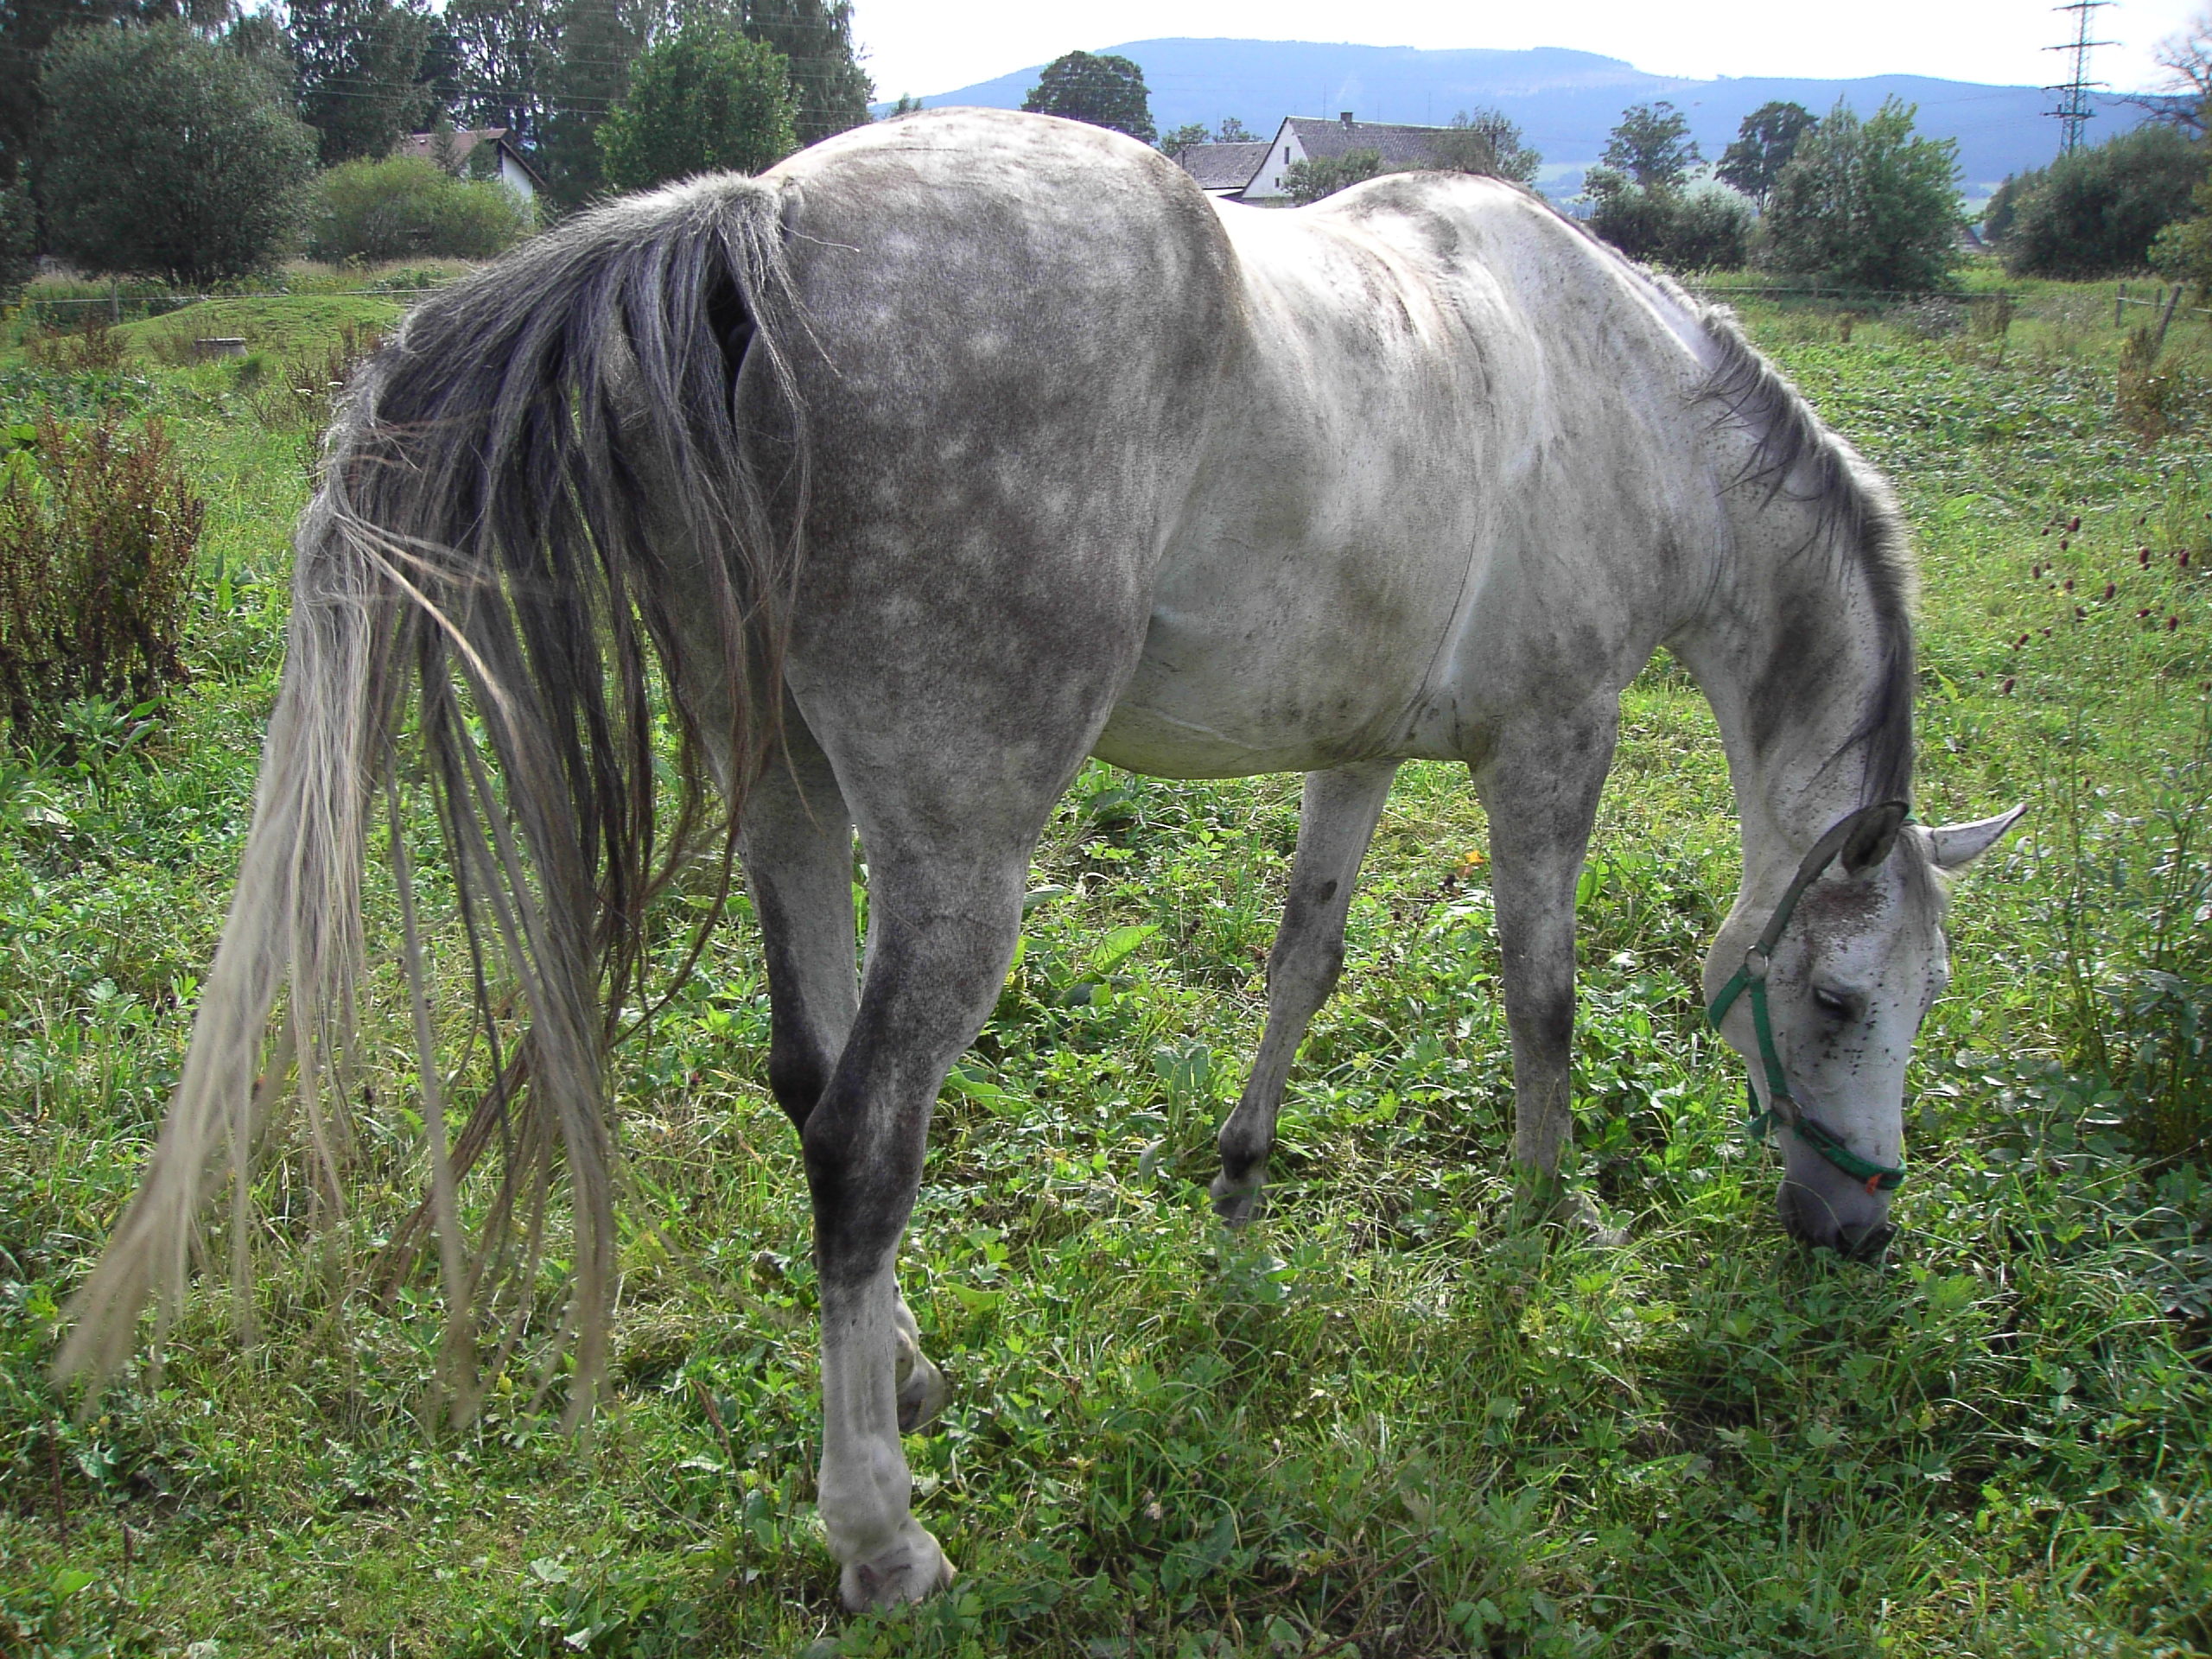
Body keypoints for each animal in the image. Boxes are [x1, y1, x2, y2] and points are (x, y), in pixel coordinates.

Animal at [52, 107, 2025, 1610]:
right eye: (1836, 997)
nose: (1853, 1229)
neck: (1617, 396)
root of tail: (750, 228)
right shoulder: (1554, 746)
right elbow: (1535, 997)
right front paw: (1540, 1239)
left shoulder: (1360, 748)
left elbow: (1305, 956)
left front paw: (1241, 1181)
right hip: (961, 855)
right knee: (862, 1137)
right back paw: (880, 1537)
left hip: (797, 801)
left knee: (808, 1080)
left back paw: (907, 1377)